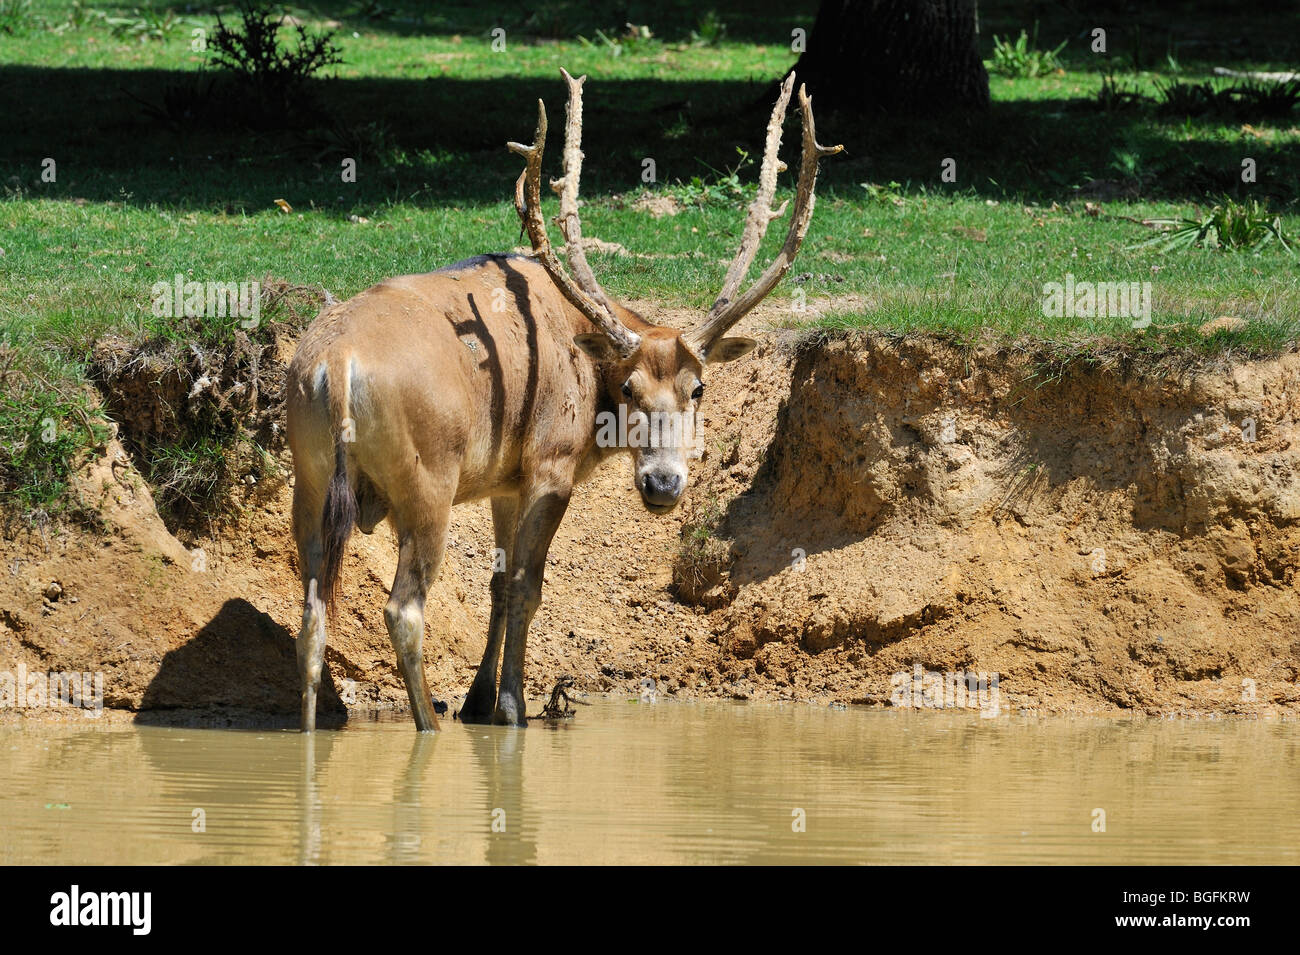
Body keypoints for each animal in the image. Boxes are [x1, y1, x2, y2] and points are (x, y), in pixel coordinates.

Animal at [284, 69, 842, 732]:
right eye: (627, 388)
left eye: (697, 388)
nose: (663, 484)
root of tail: (337, 363)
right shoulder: (551, 461)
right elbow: (529, 584)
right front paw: (510, 707)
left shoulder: (505, 478)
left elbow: (498, 582)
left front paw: (478, 700)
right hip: (428, 477)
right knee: (404, 609)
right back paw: (429, 724)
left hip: (308, 473)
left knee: (311, 614)